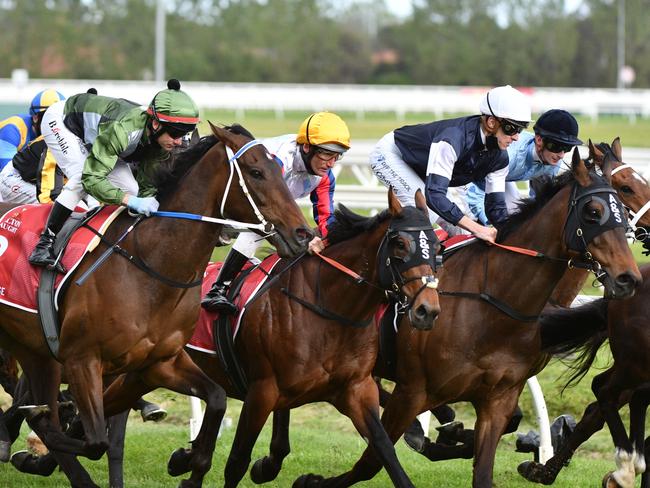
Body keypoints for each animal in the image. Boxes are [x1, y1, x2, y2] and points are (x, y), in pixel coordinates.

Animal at [0, 123, 312, 488]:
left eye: (279, 170)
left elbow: (216, 399)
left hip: (36, 353)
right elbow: (94, 441)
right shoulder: (82, 358)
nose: (303, 233)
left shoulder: (159, 362)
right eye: (256, 172)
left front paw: (188, 460)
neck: (151, 267)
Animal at [180, 191, 440, 488]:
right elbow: (237, 461)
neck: (329, 310)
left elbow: (384, 450)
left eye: (437, 247)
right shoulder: (262, 391)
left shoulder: (356, 389)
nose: (427, 311)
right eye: (399, 244)